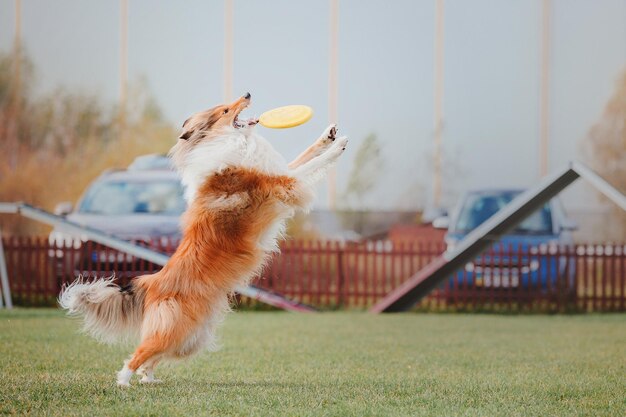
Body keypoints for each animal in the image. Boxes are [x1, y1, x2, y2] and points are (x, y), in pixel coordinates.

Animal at [59, 92, 348, 386]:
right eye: (225, 110)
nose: (247, 93)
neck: (228, 141)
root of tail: (154, 281)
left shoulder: (281, 172)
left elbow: (305, 156)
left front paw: (329, 136)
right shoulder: (284, 184)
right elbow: (310, 165)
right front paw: (339, 147)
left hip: (189, 338)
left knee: (152, 358)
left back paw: (149, 379)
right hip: (174, 329)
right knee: (138, 354)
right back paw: (123, 382)